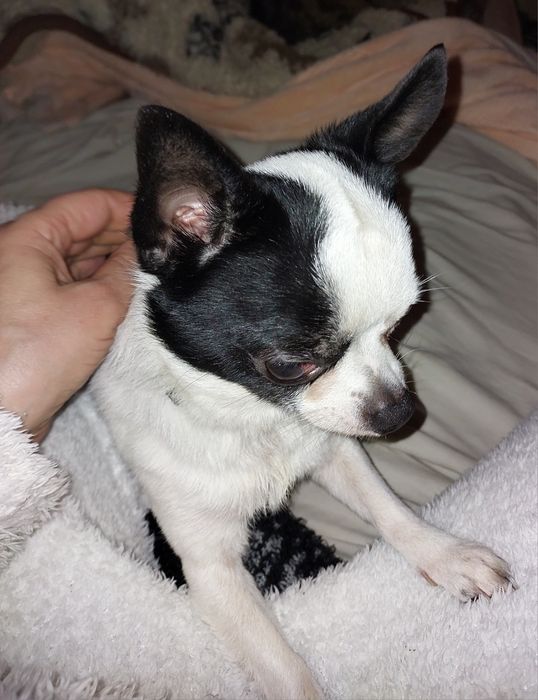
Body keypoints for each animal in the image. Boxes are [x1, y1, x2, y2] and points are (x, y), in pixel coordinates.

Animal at [92, 45, 512, 699]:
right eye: (292, 364)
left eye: (399, 326)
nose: (400, 411)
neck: (255, 418)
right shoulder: (209, 565)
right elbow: (284, 668)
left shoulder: (338, 446)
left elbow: (389, 508)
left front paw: (445, 555)